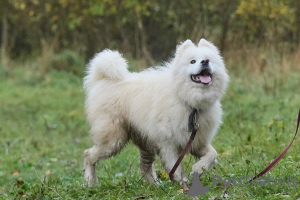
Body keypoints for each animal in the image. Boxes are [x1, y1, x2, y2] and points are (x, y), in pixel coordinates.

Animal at [83, 39, 229, 186]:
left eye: (208, 59)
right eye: (192, 61)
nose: (205, 61)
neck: (189, 102)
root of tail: (102, 80)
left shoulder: (197, 141)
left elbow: (212, 154)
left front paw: (198, 169)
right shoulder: (168, 143)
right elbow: (176, 168)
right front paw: (182, 184)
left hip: (145, 143)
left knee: (144, 167)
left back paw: (155, 185)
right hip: (113, 140)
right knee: (88, 155)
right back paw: (91, 182)